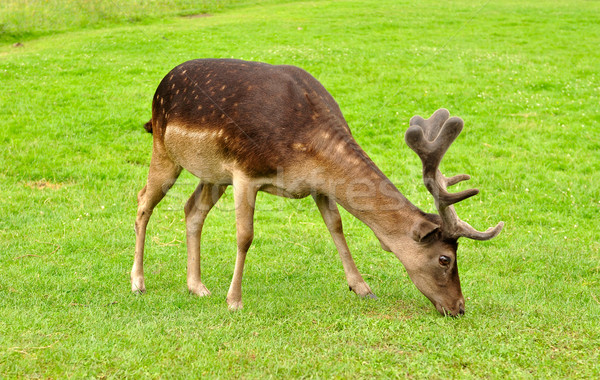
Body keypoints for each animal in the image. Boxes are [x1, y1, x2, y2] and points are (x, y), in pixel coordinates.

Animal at [131, 58, 502, 316]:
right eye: (445, 259)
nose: (459, 307)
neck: (306, 147)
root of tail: (158, 90)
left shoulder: (318, 185)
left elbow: (336, 226)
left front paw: (362, 287)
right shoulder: (245, 172)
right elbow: (245, 236)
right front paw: (234, 300)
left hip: (212, 174)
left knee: (192, 209)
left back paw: (197, 286)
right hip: (165, 150)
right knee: (143, 201)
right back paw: (138, 282)